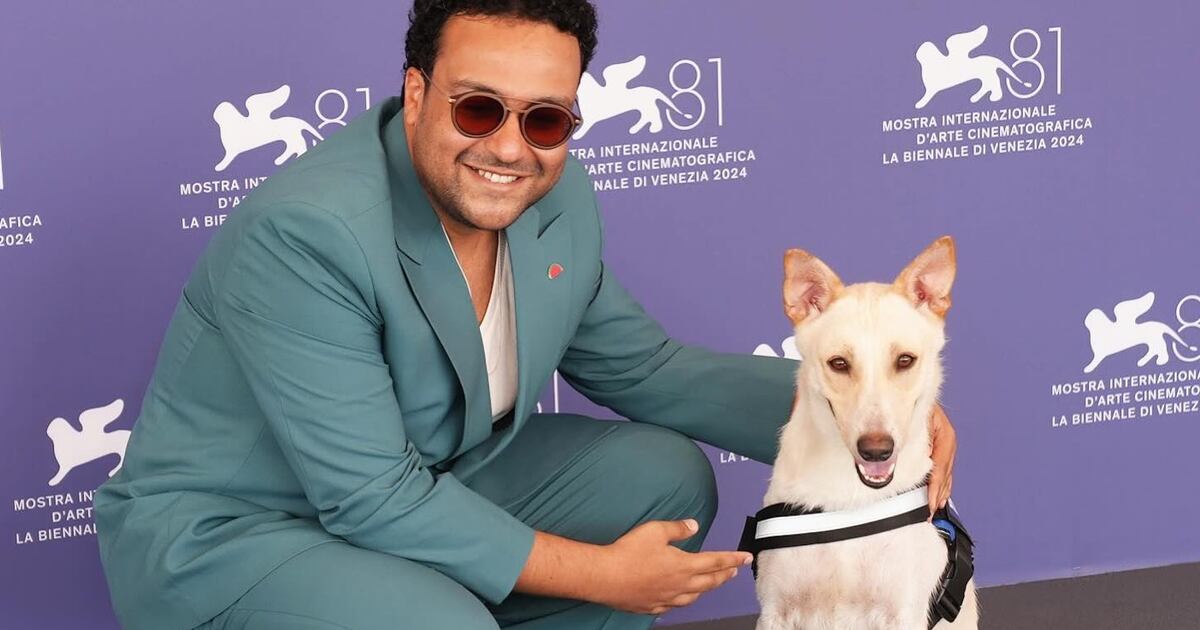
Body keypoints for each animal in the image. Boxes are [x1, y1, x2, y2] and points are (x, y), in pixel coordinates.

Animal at [753, 236, 978, 629]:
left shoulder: (903, 613)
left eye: (905, 360)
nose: (876, 450)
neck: (850, 499)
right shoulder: (775, 611)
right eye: (839, 363)